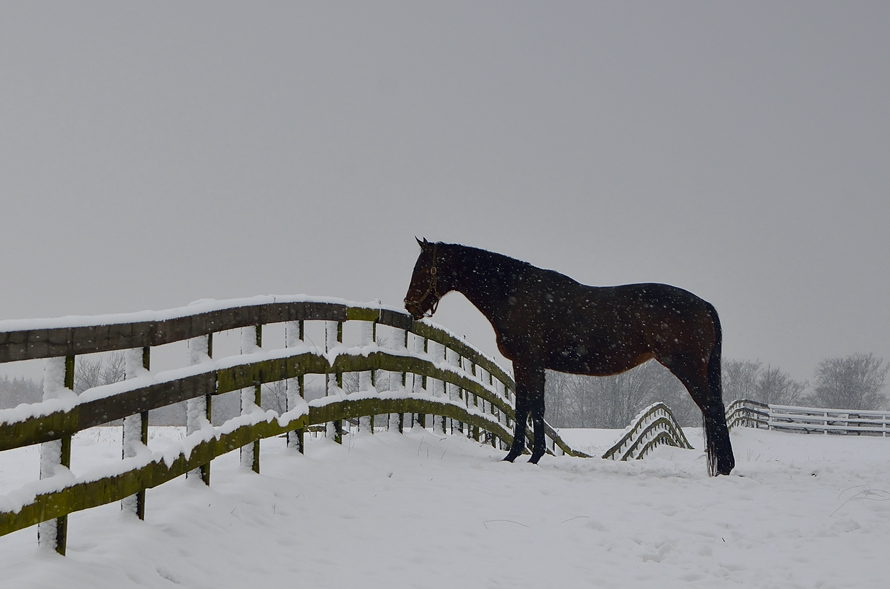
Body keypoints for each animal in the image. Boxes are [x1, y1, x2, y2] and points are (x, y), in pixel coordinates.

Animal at [406, 238, 732, 474]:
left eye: (422, 268)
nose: (409, 305)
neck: (514, 293)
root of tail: (704, 305)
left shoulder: (529, 362)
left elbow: (530, 407)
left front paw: (522, 456)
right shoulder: (528, 365)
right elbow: (530, 407)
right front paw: (526, 455)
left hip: (687, 368)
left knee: (713, 410)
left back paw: (726, 467)